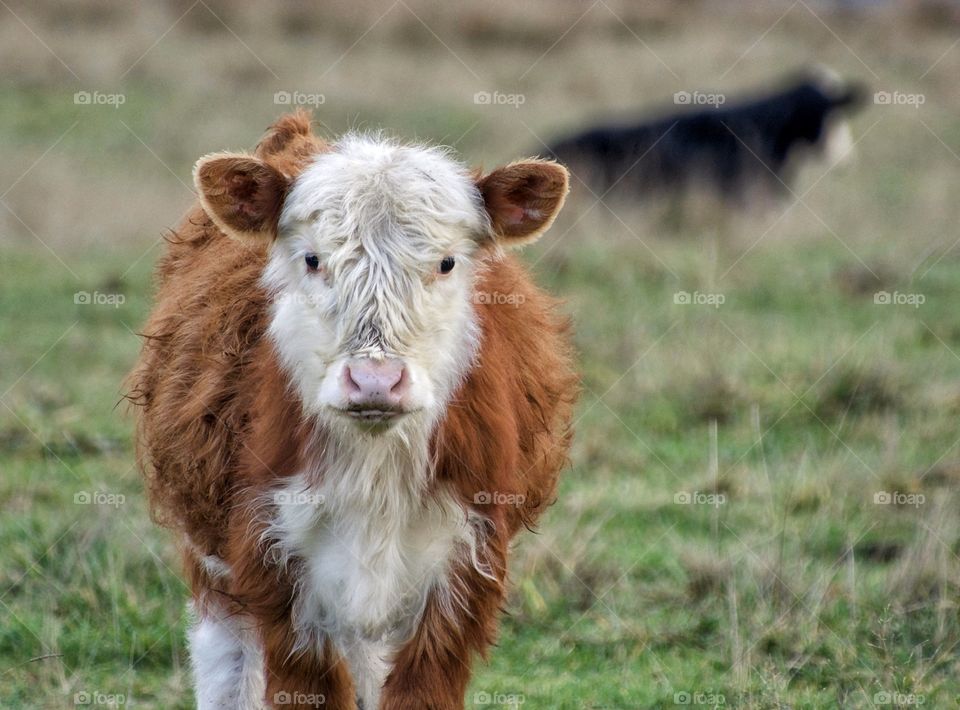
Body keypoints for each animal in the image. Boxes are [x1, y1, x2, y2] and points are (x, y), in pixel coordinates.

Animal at [127, 112, 576, 710]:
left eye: (446, 262)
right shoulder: (273, 564)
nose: (374, 381)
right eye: (313, 259)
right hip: (215, 568)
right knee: (227, 664)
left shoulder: (465, 563)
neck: (374, 470)